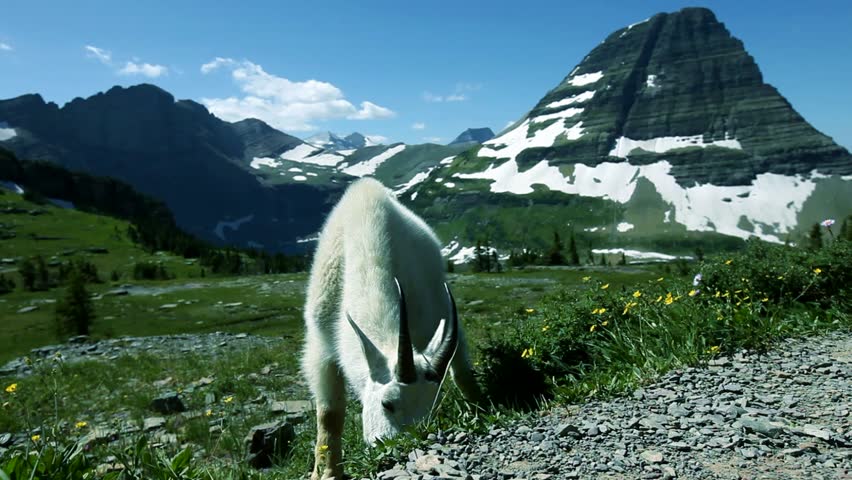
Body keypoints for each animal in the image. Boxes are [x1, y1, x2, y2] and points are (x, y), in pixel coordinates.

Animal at [301, 177, 478, 479]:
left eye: (428, 408)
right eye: (387, 403)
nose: (401, 448)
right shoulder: (321, 346)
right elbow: (329, 414)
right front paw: (326, 472)